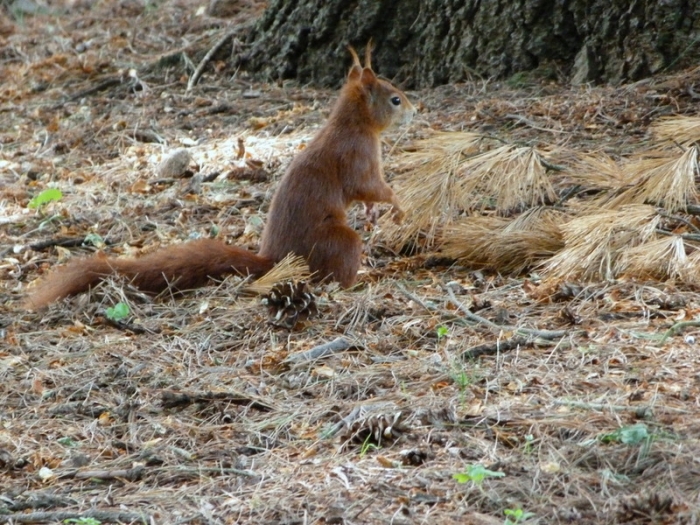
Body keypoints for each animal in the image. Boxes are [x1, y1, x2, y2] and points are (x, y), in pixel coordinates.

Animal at [24, 42, 416, 310]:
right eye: (395, 99)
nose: (415, 110)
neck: (353, 124)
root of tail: (275, 261)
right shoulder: (355, 155)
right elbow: (367, 186)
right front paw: (397, 204)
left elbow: (366, 196)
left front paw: (377, 211)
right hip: (339, 242)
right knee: (333, 271)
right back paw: (360, 280)